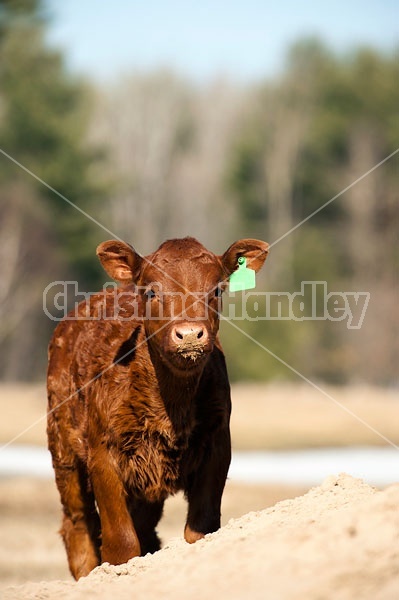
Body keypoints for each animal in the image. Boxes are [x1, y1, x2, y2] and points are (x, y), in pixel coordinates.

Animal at [48, 237, 270, 580]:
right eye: (152, 292)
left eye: (216, 290)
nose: (190, 334)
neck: (171, 406)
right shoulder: (102, 453)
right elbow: (121, 544)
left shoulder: (218, 444)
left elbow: (200, 530)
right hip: (65, 453)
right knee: (78, 524)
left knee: (144, 529)